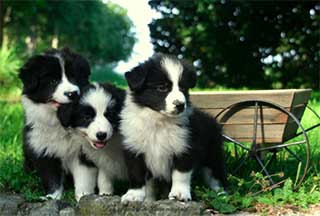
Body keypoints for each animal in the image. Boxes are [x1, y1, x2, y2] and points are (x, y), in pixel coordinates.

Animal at [19, 48, 94, 200]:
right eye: (53, 81)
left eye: (74, 78)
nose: (72, 93)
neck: (60, 123)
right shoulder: (44, 150)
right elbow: (52, 178)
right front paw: (52, 198)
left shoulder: (83, 151)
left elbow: (84, 177)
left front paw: (83, 197)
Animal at [120, 53, 228, 202]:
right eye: (162, 88)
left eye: (183, 88)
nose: (180, 105)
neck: (159, 121)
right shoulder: (134, 149)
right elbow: (136, 174)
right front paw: (133, 195)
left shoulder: (185, 147)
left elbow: (180, 174)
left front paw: (179, 194)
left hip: (213, 155)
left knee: (216, 175)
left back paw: (221, 195)